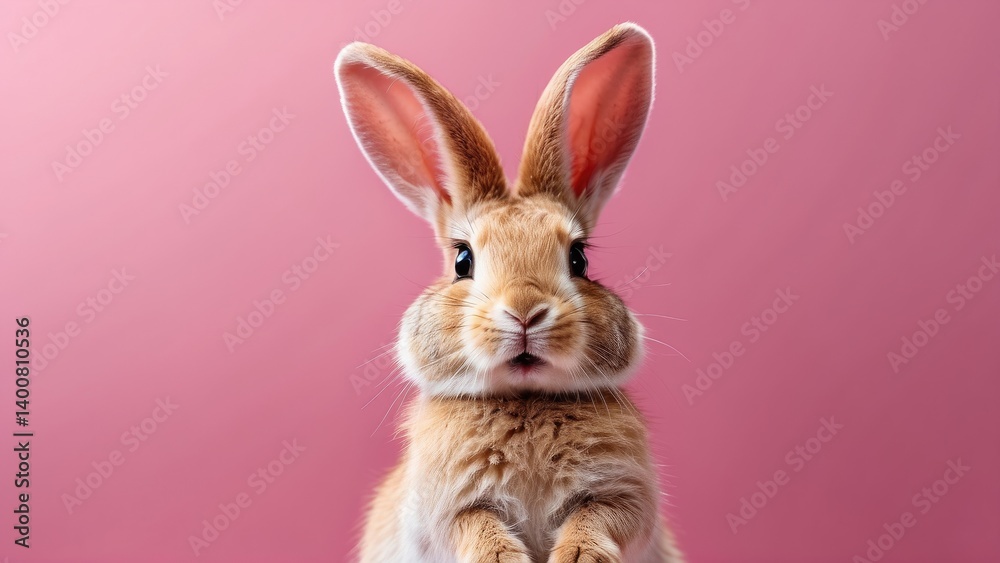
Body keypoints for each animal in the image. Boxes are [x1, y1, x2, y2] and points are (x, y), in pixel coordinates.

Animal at [335, 22, 682, 563]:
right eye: (462, 261)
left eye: (579, 259)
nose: (524, 312)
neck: (526, 400)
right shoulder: (447, 512)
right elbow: (476, 526)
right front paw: (502, 558)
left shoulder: (624, 497)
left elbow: (600, 518)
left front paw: (579, 556)